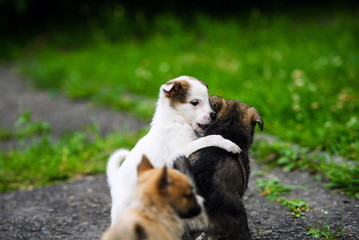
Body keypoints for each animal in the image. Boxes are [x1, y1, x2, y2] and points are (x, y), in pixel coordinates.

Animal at [107, 76, 242, 225]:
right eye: (195, 102)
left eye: (207, 100)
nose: (213, 115)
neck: (176, 120)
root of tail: (115, 177)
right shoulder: (182, 149)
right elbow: (211, 138)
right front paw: (229, 144)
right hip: (122, 207)